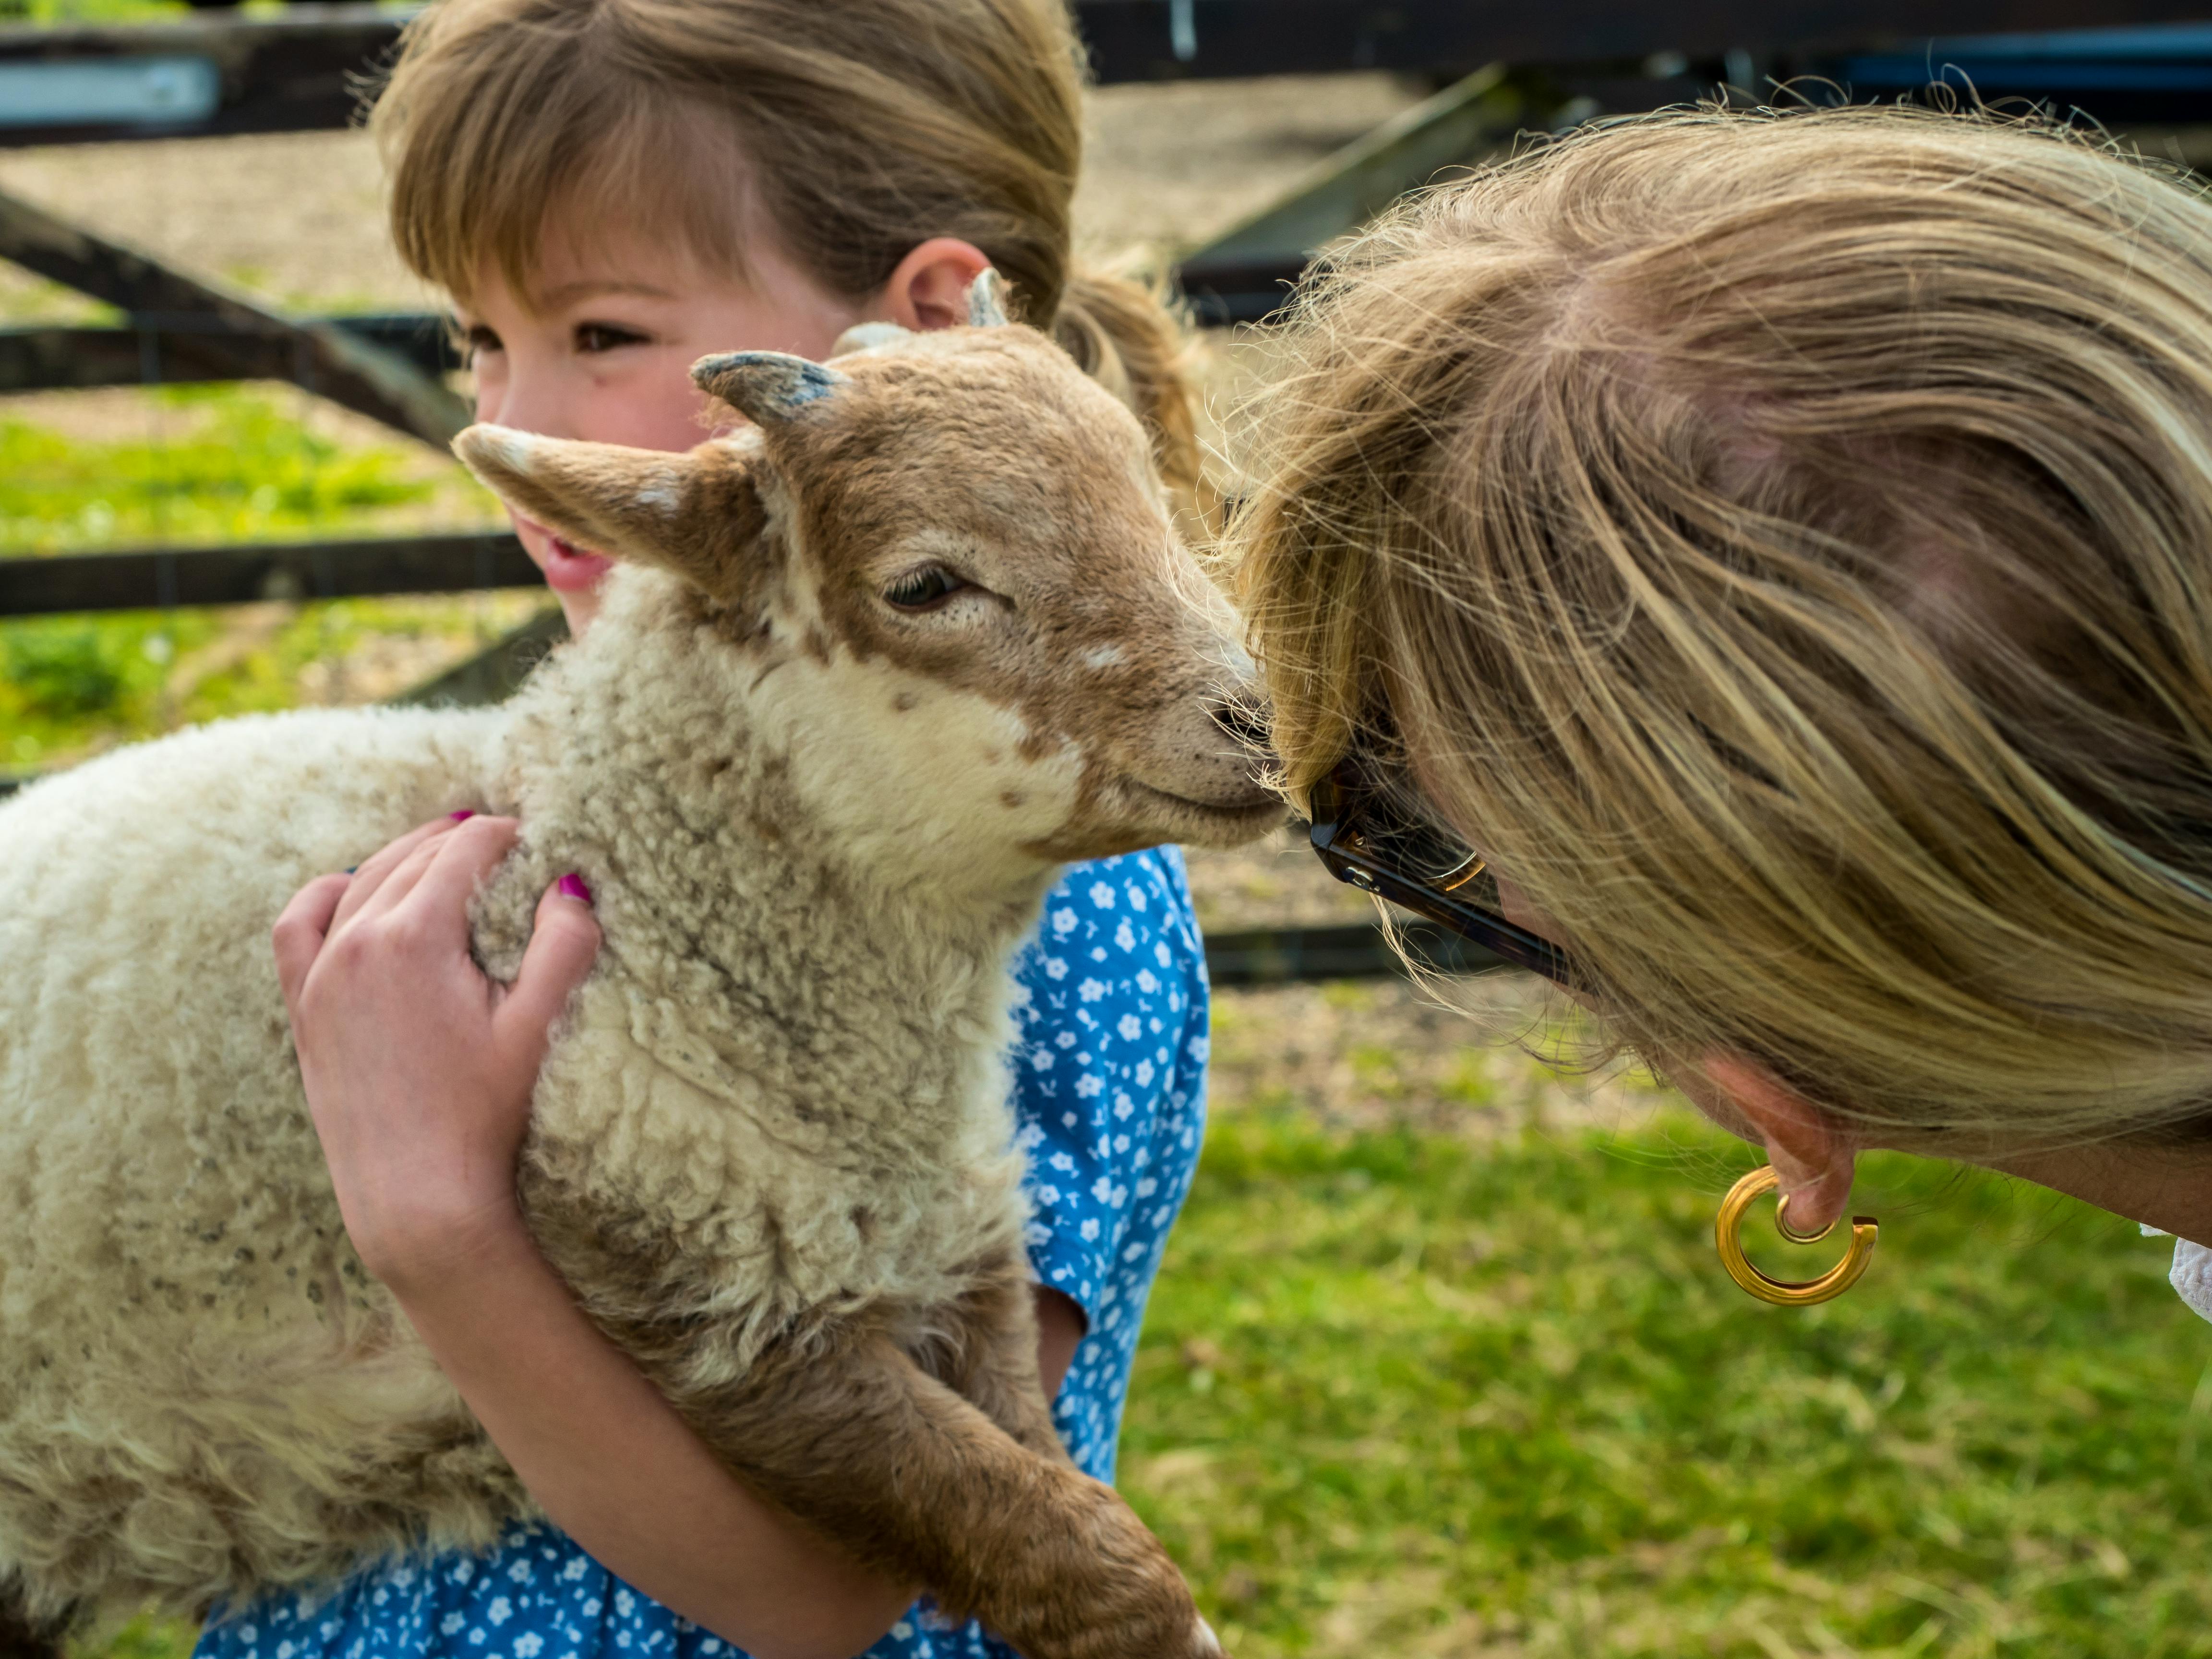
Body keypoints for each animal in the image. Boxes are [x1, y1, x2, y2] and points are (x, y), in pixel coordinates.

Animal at [0, 280, 1278, 1659]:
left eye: (1152, 498)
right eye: (927, 583)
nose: (1262, 724)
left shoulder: (967, 1251)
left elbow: (1054, 1492)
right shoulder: (712, 1305)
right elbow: (1067, 1549)